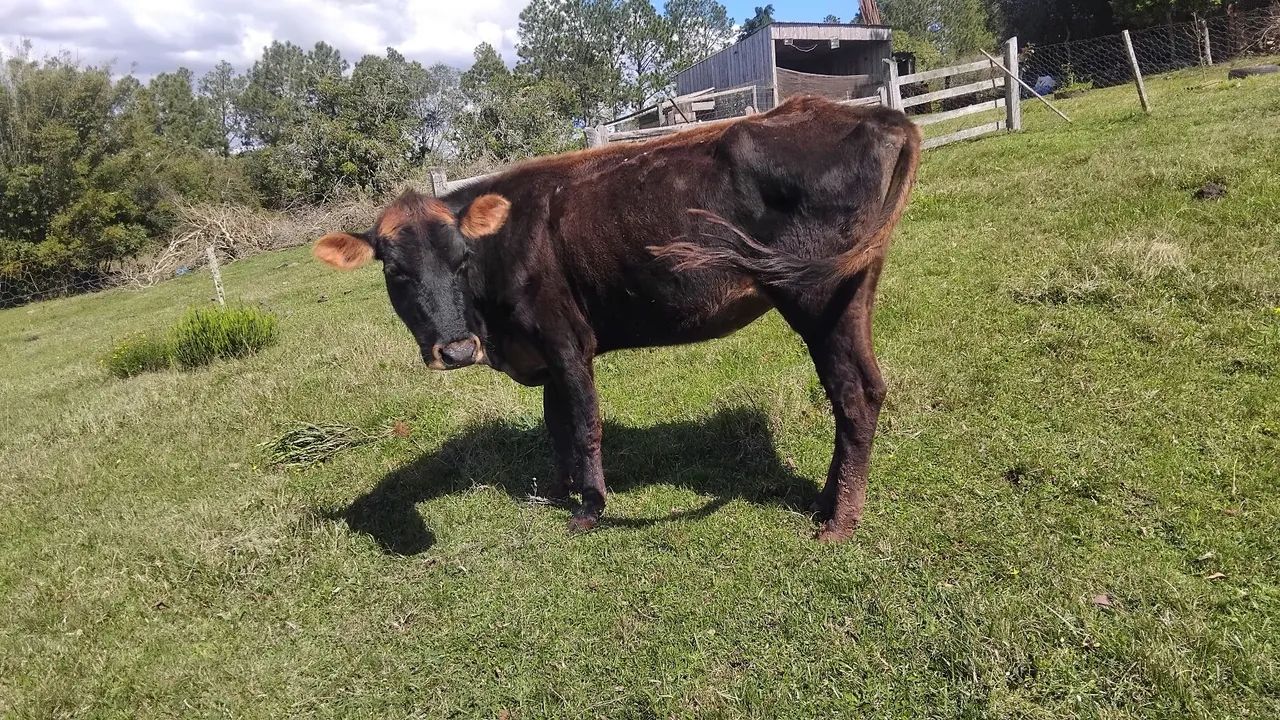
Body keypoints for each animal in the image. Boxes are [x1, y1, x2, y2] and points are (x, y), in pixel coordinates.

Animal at [313, 95, 922, 542]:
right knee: (869, 388)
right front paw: (556, 490)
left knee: (851, 395)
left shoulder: (567, 341)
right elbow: (555, 422)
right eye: (395, 271)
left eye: (462, 258)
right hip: (852, 293)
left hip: (816, 297)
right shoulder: (544, 350)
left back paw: (838, 522)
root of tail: (870, 114)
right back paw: (826, 502)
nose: (458, 350)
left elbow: (584, 424)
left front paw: (590, 509)